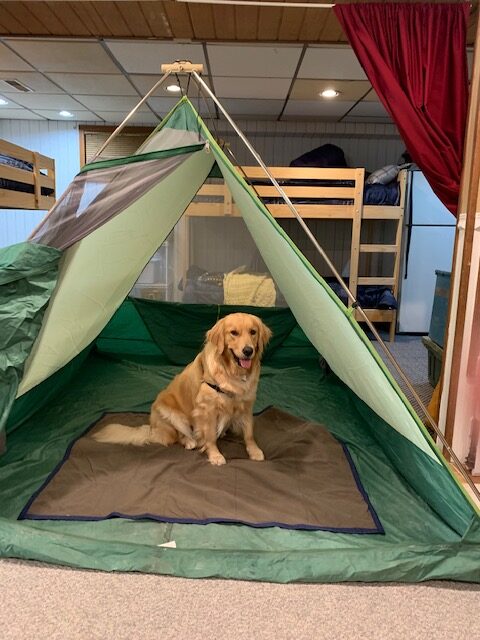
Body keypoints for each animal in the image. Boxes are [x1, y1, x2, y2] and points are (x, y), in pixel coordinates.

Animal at [92, 314, 272, 464]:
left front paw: (254, 451)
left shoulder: (247, 404)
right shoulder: (207, 410)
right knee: (177, 436)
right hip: (171, 414)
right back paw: (190, 441)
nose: (248, 351)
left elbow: (249, 433)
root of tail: (152, 428)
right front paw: (215, 455)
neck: (233, 373)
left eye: (253, 332)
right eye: (233, 333)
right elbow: (210, 437)